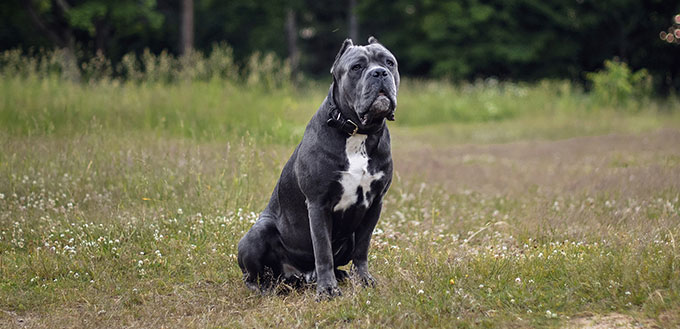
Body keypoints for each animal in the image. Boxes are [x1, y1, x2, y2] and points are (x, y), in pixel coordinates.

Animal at [238, 36, 398, 298]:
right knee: (253, 275)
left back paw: (341, 276)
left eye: (389, 62)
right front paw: (328, 290)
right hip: (257, 234)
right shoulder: (318, 204)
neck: (358, 132)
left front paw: (363, 280)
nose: (380, 73)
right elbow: (322, 250)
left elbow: (362, 249)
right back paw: (265, 288)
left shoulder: (375, 203)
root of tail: (298, 275)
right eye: (357, 67)